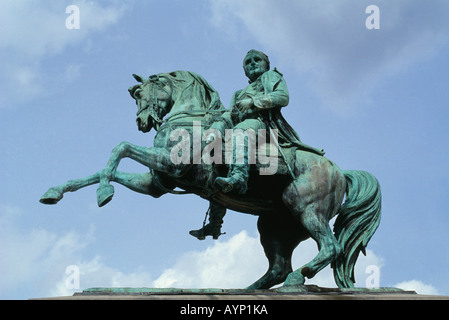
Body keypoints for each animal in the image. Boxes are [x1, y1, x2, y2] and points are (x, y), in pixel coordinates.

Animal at [40, 70, 380, 290]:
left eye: (141, 93)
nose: (142, 122)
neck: (189, 119)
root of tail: (338, 171)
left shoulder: (170, 164)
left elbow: (119, 148)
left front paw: (104, 192)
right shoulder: (157, 184)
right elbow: (101, 168)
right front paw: (56, 191)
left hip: (307, 211)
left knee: (330, 247)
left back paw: (299, 278)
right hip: (275, 226)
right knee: (279, 266)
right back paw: (250, 288)